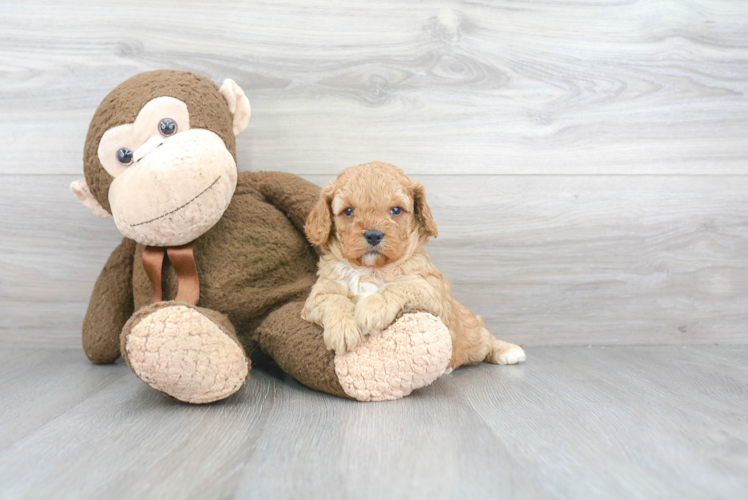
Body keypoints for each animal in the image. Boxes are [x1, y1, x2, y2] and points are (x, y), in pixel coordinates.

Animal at [302, 161, 524, 372]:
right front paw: (343, 329)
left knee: (486, 339)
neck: (371, 269)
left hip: (473, 335)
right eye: (348, 211)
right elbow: (333, 300)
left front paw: (370, 308)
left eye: (396, 210)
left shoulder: (431, 290)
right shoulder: (317, 295)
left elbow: (400, 285)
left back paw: (508, 351)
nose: (373, 235)